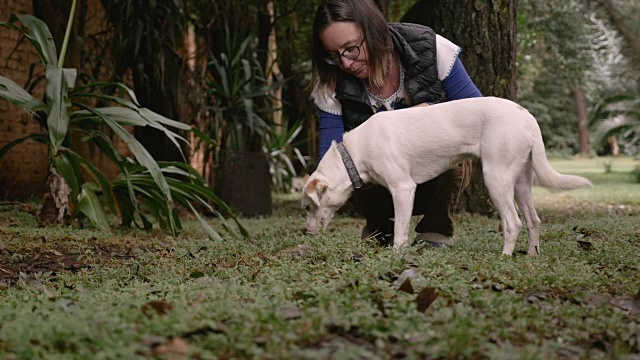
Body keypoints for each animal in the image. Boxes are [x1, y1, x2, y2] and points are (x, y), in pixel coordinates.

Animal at [302, 97, 592, 255]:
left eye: (307, 207)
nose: (304, 232)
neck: (352, 153)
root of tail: (526, 116)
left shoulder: (403, 189)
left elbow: (400, 230)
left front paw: (397, 254)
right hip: (521, 183)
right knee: (533, 220)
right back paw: (531, 256)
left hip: (496, 179)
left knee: (514, 222)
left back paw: (505, 256)